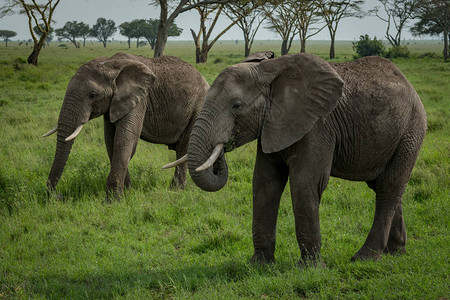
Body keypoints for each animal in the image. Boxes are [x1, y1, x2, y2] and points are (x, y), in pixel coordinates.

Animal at [44, 52, 209, 200]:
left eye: (92, 95)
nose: (57, 195)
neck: (110, 64)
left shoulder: (140, 99)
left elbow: (125, 140)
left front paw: (112, 201)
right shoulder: (113, 104)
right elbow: (111, 142)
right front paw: (128, 192)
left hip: (198, 109)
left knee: (183, 149)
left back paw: (175, 191)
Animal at [167, 52, 428, 266]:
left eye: (236, 105)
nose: (222, 147)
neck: (270, 72)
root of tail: (409, 84)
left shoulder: (317, 126)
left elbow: (305, 183)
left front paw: (311, 268)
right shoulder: (272, 124)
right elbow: (264, 183)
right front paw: (259, 265)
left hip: (411, 132)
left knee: (388, 188)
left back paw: (365, 258)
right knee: (385, 186)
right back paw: (395, 253)